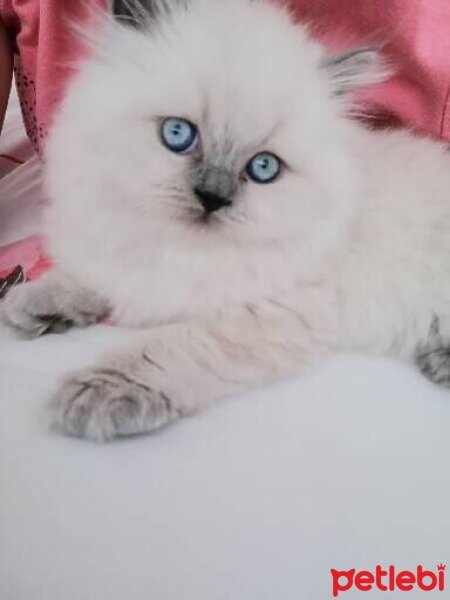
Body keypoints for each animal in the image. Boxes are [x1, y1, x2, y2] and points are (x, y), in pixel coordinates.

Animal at [0, 0, 450, 440]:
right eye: (178, 134)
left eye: (264, 167)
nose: (213, 198)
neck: (183, 249)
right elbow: (95, 278)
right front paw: (36, 303)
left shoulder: (269, 314)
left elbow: (170, 349)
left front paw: (102, 391)